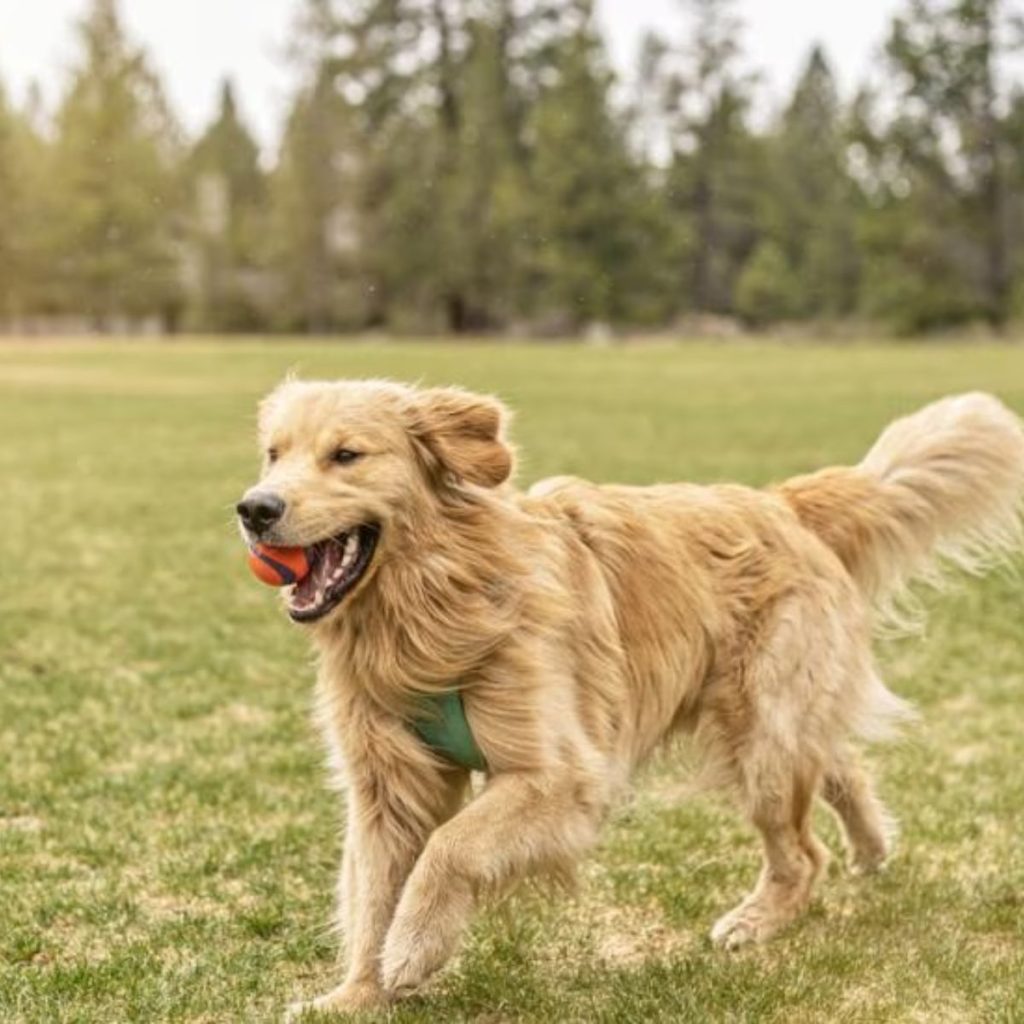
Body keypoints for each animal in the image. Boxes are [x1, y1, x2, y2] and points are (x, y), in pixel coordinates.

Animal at [235, 382, 1024, 1015]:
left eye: (346, 455)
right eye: (273, 454)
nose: (254, 509)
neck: (434, 608)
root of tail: (780, 501)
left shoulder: (561, 777)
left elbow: (448, 848)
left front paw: (414, 948)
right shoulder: (386, 787)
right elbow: (373, 891)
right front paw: (355, 995)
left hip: (759, 737)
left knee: (802, 852)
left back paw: (758, 919)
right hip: (776, 724)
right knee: (839, 763)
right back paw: (872, 846)